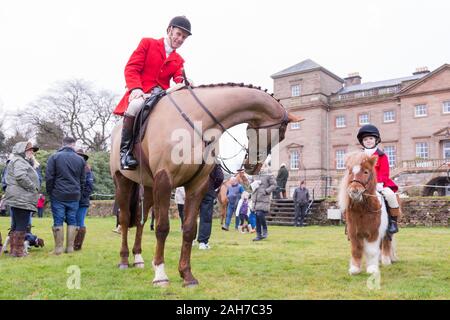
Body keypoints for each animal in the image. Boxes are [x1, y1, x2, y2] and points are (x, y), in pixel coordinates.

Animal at [110, 83, 304, 288]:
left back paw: (138, 258)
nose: (254, 166)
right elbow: (162, 228)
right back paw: (124, 260)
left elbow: (189, 230)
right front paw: (160, 275)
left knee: (141, 220)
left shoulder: (197, 185)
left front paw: (187, 275)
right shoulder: (164, 181)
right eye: (280, 134)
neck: (197, 121)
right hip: (122, 182)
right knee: (125, 219)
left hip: (147, 187)